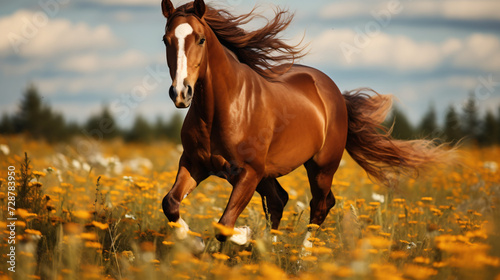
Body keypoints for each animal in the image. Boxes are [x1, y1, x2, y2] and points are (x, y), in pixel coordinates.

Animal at [160, 0, 450, 245]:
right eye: (166, 40)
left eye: (200, 39)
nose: (181, 93)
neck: (222, 109)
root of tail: (335, 93)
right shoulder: (194, 163)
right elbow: (170, 203)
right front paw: (194, 240)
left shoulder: (248, 172)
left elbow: (224, 225)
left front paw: (244, 232)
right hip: (270, 173)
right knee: (279, 200)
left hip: (321, 167)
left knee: (320, 205)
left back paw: (302, 256)